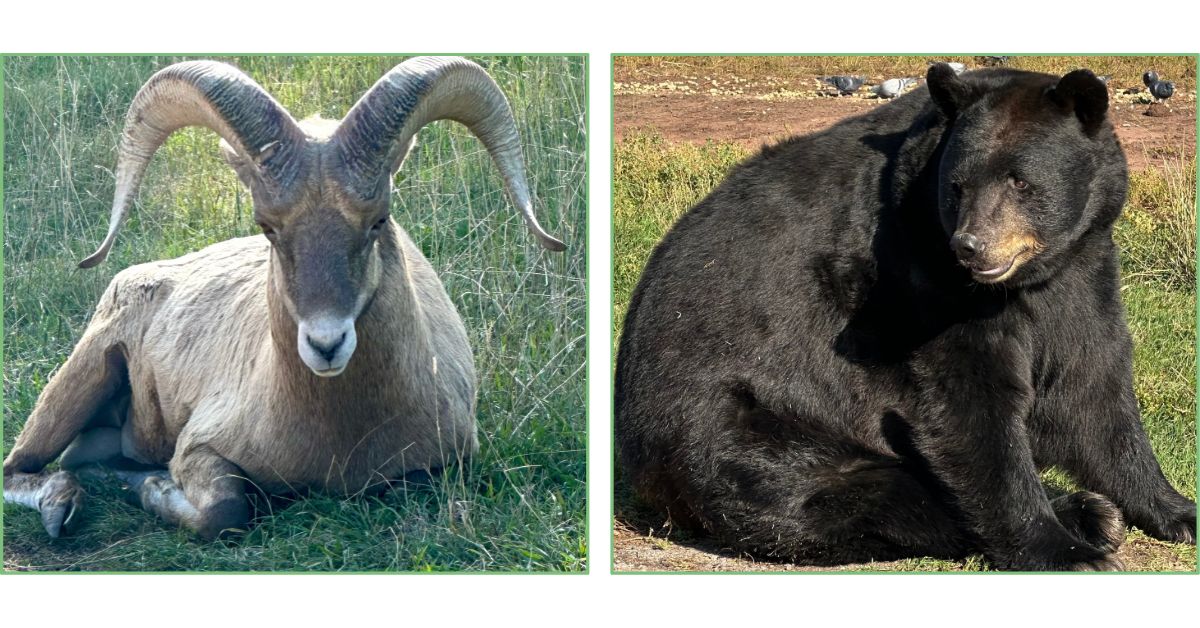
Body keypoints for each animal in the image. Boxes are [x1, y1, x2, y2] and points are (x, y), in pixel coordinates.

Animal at [2, 57, 565, 541]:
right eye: (267, 227)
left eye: (378, 220)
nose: (326, 344)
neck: (340, 436)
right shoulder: (200, 451)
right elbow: (224, 510)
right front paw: (151, 484)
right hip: (80, 380)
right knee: (20, 468)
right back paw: (62, 506)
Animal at [613, 64, 1197, 571]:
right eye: (958, 185)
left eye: (1020, 181)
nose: (970, 246)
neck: (1027, 276)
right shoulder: (920, 277)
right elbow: (969, 400)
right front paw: (1067, 552)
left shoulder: (1083, 267)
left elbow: (1092, 385)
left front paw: (1175, 509)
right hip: (746, 425)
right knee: (850, 496)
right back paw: (1079, 516)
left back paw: (1091, 510)